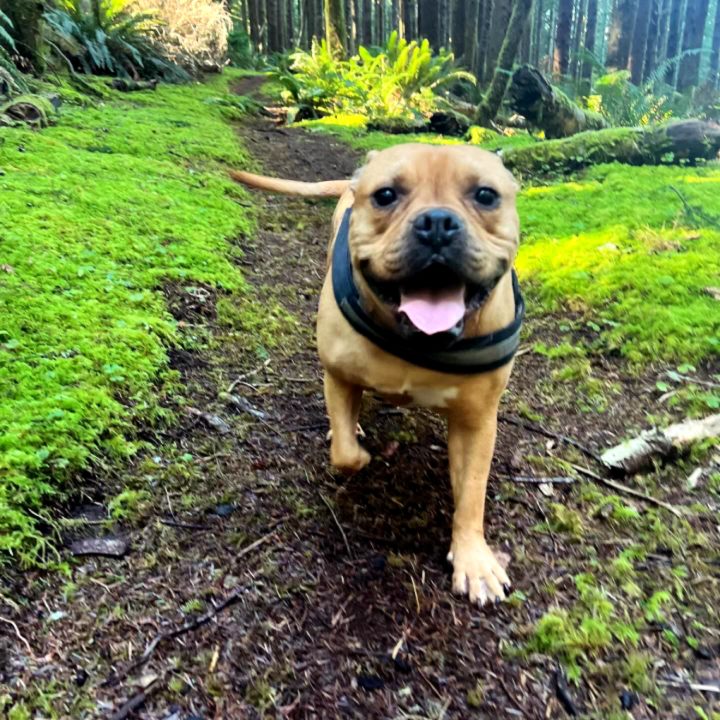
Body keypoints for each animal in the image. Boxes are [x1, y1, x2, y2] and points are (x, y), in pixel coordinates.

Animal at [235, 143, 524, 604]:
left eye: (485, 195)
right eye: (386, 195)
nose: (437, 223)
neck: (419, 339)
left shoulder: (477, 422)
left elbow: (472, 494)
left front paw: (473, 559)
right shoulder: (339, 376)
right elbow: (346, 454)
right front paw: (358, 448)